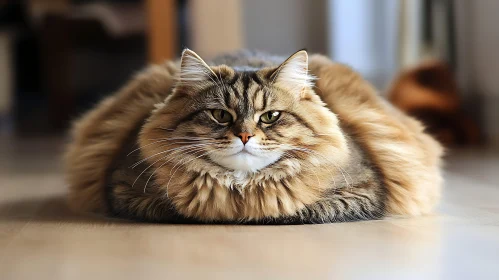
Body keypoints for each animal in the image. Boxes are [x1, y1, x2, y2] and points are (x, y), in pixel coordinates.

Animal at [64, 48, 444, 223]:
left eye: (270, 117)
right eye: (221, 115)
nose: (245, 136)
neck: (241, 186)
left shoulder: (365, 190)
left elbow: (295, 209)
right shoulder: (123, 188)